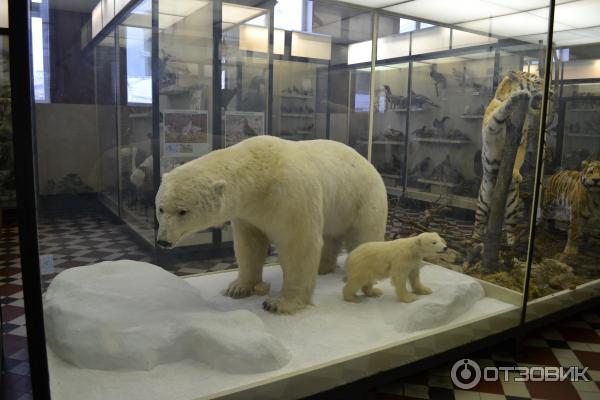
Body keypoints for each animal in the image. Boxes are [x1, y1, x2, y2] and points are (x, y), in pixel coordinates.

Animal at [156, 136, 390, 314]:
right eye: (160, 208)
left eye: (182, 211)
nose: (163, 241)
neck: (260, 175)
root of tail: (368, 161)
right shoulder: (249, 214)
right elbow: (249, 246)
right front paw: (238, 288)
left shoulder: (291, 197)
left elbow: (299, 246)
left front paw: (280, 303)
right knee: (331, 236)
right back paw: (324, 267)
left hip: (363, 198)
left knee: (364, 237)